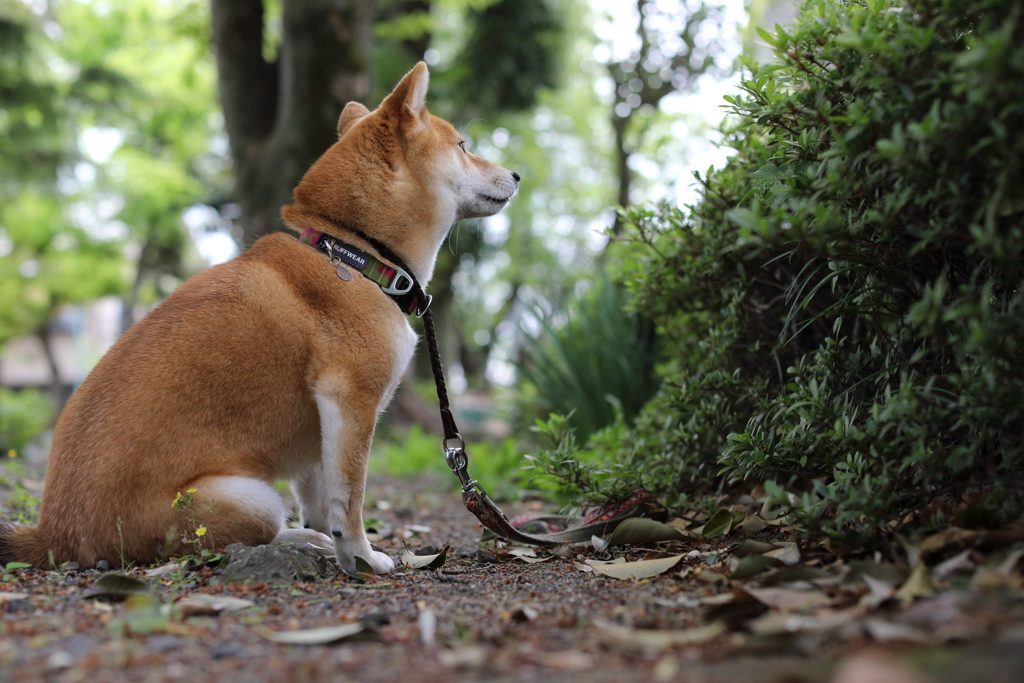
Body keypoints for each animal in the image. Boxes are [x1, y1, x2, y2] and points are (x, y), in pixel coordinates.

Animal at [0, 61, 520, 573]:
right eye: (463, 146)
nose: (516, 173)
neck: (356, 253)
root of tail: (53, 535)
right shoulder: (351, 399)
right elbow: (349, 499)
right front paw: (362, 558)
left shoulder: (323, 424)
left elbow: (321, 498)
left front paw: (337, 548)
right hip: (252, 498)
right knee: (235, 537)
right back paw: (297, 541)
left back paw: (307, 539)